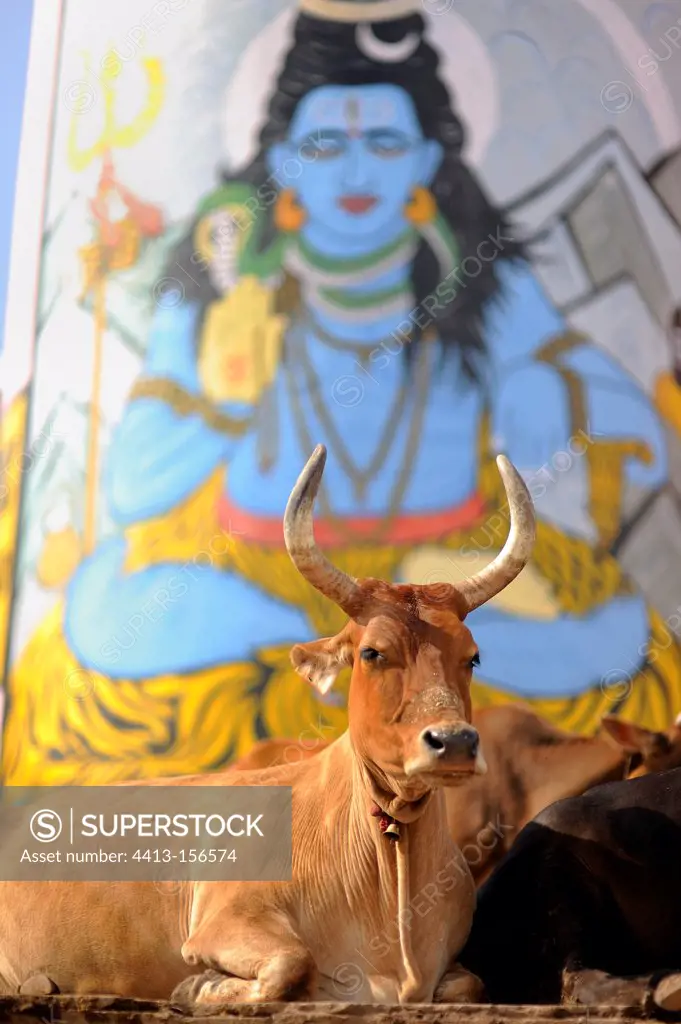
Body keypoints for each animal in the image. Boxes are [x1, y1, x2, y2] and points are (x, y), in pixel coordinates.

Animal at [0, 444, 532, 1003]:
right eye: (372, 652)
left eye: (472, 656)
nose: (453, 742)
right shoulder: (226, 921)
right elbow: (291, 963)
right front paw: (197, 987)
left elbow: (470, 983)